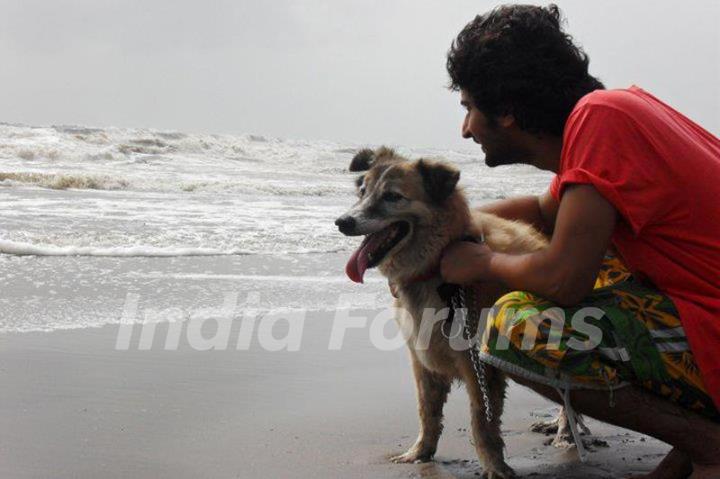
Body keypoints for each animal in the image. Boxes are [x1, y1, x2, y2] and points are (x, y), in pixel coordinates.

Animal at [334, 148, 560, 478]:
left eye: (392, 196)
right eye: (362, 192)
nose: (342, 222)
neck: (435, 267)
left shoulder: (479, 366)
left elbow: (482, 423)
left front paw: (494, 466)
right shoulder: (422, 359)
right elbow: (427, 413)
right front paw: (420, 453)